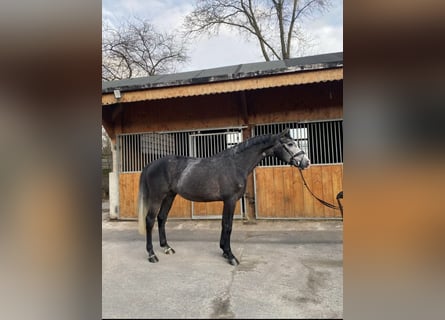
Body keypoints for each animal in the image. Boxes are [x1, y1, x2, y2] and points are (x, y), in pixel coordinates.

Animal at [138, 127, 308, 264]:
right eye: (290, 144)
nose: (306, 162)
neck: (235, 164)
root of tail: (151, 165)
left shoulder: (229, 201)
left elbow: (224, 223)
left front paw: (224, 251)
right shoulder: (230, 200)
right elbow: (228, 225)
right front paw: (231, 256)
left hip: (169, 196)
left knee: (161, 218)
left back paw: (166, 247)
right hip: (157, 197)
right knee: (150, 220)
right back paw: (151, 255)